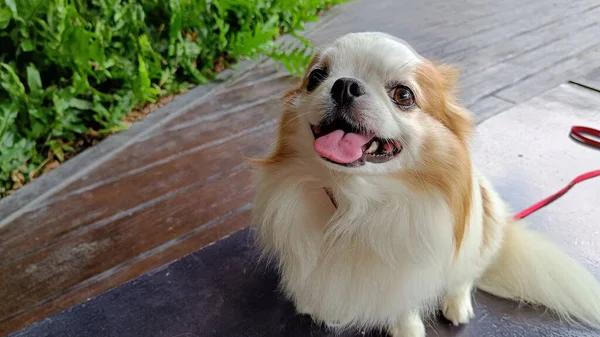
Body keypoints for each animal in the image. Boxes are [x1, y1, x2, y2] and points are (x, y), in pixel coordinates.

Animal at [248, 32, 600, 336]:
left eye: (403, 95)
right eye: (316, 77)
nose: (345, 85)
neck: (354, 204)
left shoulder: (411, 270)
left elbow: (405, 301)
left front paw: (407, 329)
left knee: (463, 278)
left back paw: (457, 305)